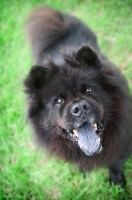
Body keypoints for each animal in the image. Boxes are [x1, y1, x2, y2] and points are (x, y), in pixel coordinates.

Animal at [24, 7, 131, 186]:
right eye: (58, 101)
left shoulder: (123, 144)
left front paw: (117, 183)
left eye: (89, 90)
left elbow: (116, 164)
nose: (80, 107)